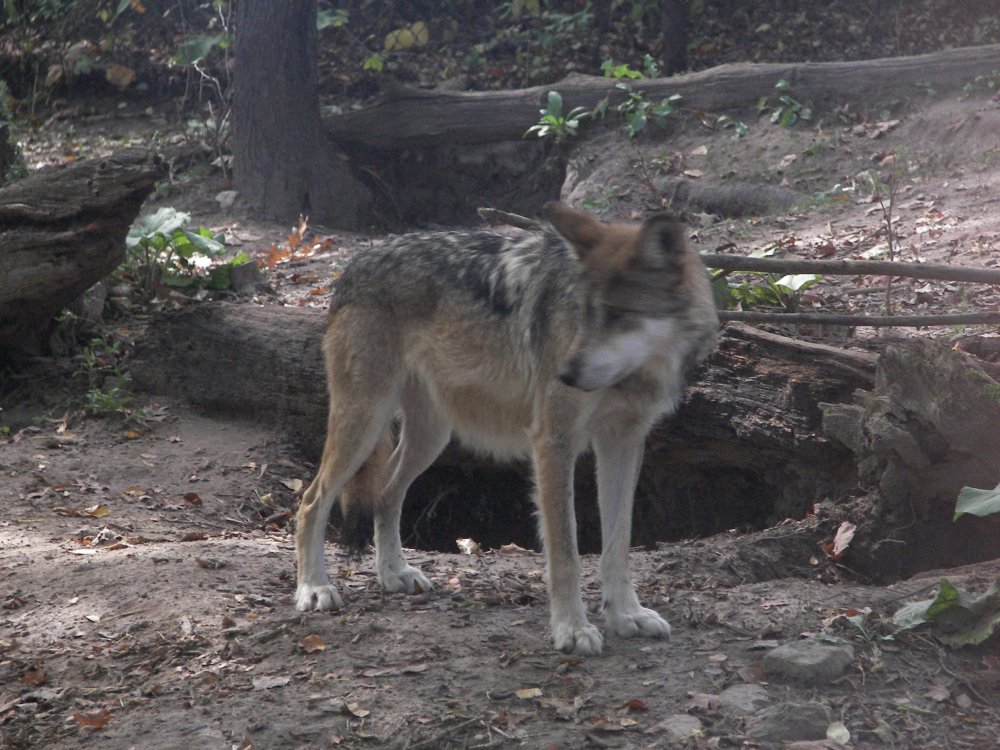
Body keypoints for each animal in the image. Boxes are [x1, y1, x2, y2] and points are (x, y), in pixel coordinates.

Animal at [292, 203, 716, 656]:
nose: (564, 375)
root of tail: (354, 264)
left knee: (387, 494)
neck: (635, 376)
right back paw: (314, 588)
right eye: (584, 314)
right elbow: (565, 552)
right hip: (365, 423)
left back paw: (393, 574)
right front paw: (572, 628)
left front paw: (626, 615)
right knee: (312, 500)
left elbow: (618, 545)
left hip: (430, 438)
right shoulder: (554, 442)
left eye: (619, 315)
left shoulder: (623, 443)